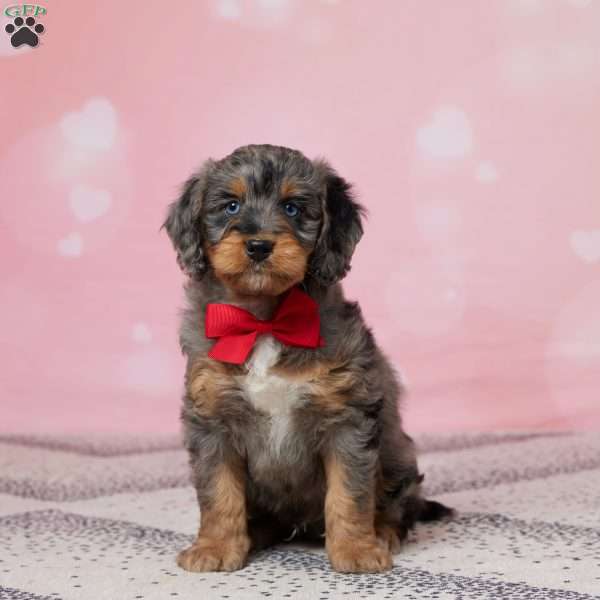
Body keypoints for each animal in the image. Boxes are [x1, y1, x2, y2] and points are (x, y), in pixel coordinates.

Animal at [162, 144, 452, 572]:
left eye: (293, 207)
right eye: (230, 206)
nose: (259, 246)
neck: (265, 321)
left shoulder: (347, 418)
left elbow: (350, 492)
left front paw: (356, 550)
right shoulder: (212, 420)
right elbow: (218, 492)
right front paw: (215, 547)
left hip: (398, 458)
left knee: (399, 505)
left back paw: (383, 532)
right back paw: (255, 534)